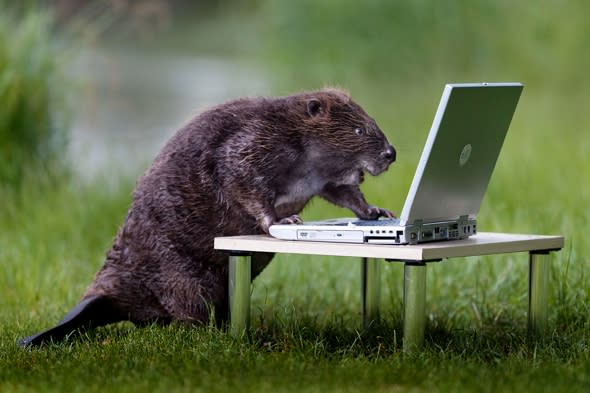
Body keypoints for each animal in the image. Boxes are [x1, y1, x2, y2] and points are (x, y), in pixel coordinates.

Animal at [18, 86, 398, 346]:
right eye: (359, 131)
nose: (391, 153)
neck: (295, 135)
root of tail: (103, 295)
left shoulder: (323, 176)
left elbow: (343, 192)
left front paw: (377, 211)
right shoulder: (253, 141)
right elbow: (243, 179)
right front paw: (283, 221)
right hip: (181, 275)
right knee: (189, 315)